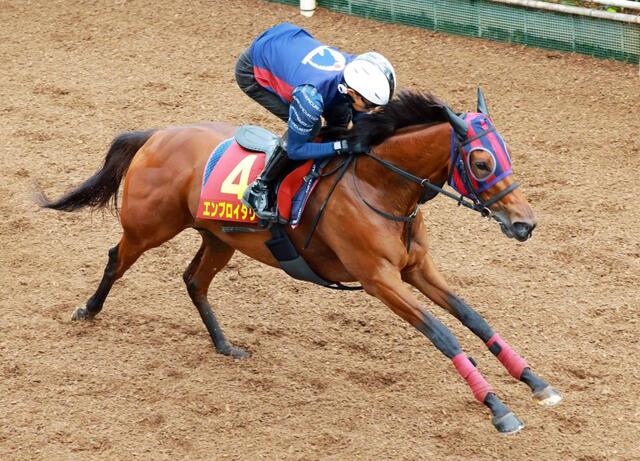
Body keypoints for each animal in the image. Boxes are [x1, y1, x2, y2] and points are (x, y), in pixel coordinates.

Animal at [39, 89, 561, 434]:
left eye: (506, 154)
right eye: (481, 162)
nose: (525, 224)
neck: (378, 186)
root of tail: (158, 134)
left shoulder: (418, 270)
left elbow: (474, 317)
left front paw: (535, 382)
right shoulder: (380, 279)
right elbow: (443, 334)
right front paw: (498, 408)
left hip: (219, 238)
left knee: (194, 281)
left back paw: (225, 345)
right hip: (149, 227)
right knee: (116, 259)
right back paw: (87, 310)